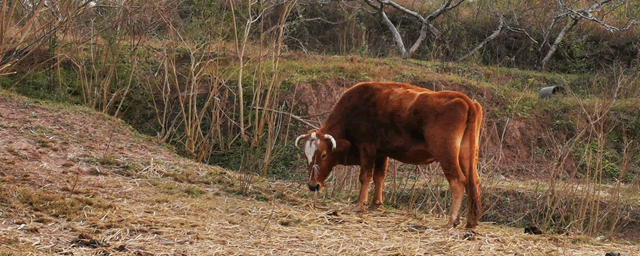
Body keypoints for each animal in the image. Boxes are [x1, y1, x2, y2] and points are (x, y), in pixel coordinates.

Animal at [298, 81, 482, 228]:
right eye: (306, 157)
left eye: (323, 155)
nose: (313, 185)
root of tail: (465, 100)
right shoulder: (381, 153)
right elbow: (379, 177)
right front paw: (376, 204)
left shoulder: (367, 148)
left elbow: (365, 176)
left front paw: (360, 205)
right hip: (466, 156)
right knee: (473, 181)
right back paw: (471, 222)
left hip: (446, 154)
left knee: (458, 181)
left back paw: (452, 220)